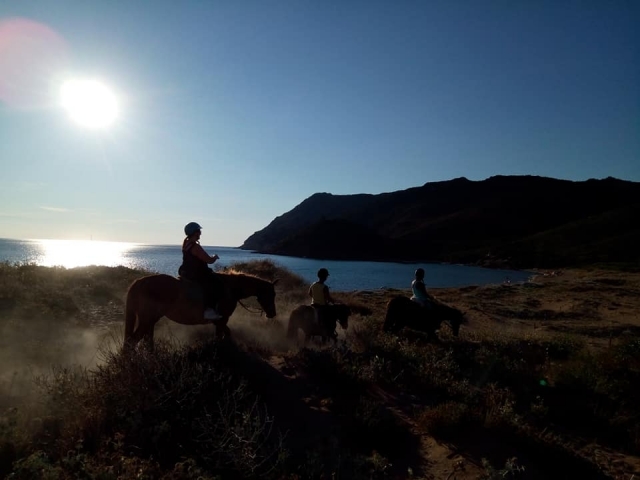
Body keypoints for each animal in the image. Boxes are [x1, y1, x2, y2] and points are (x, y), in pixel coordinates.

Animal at [123, 272, 278, 351]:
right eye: (272, 294)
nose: (272, 314)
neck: (230, 288)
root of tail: (140, 282)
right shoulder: (223, 319)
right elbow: (223, 334)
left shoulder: (220, 321)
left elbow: (225, 333)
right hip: (147, 320)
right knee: (132, 341)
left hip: (150, 320)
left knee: (146, 340)